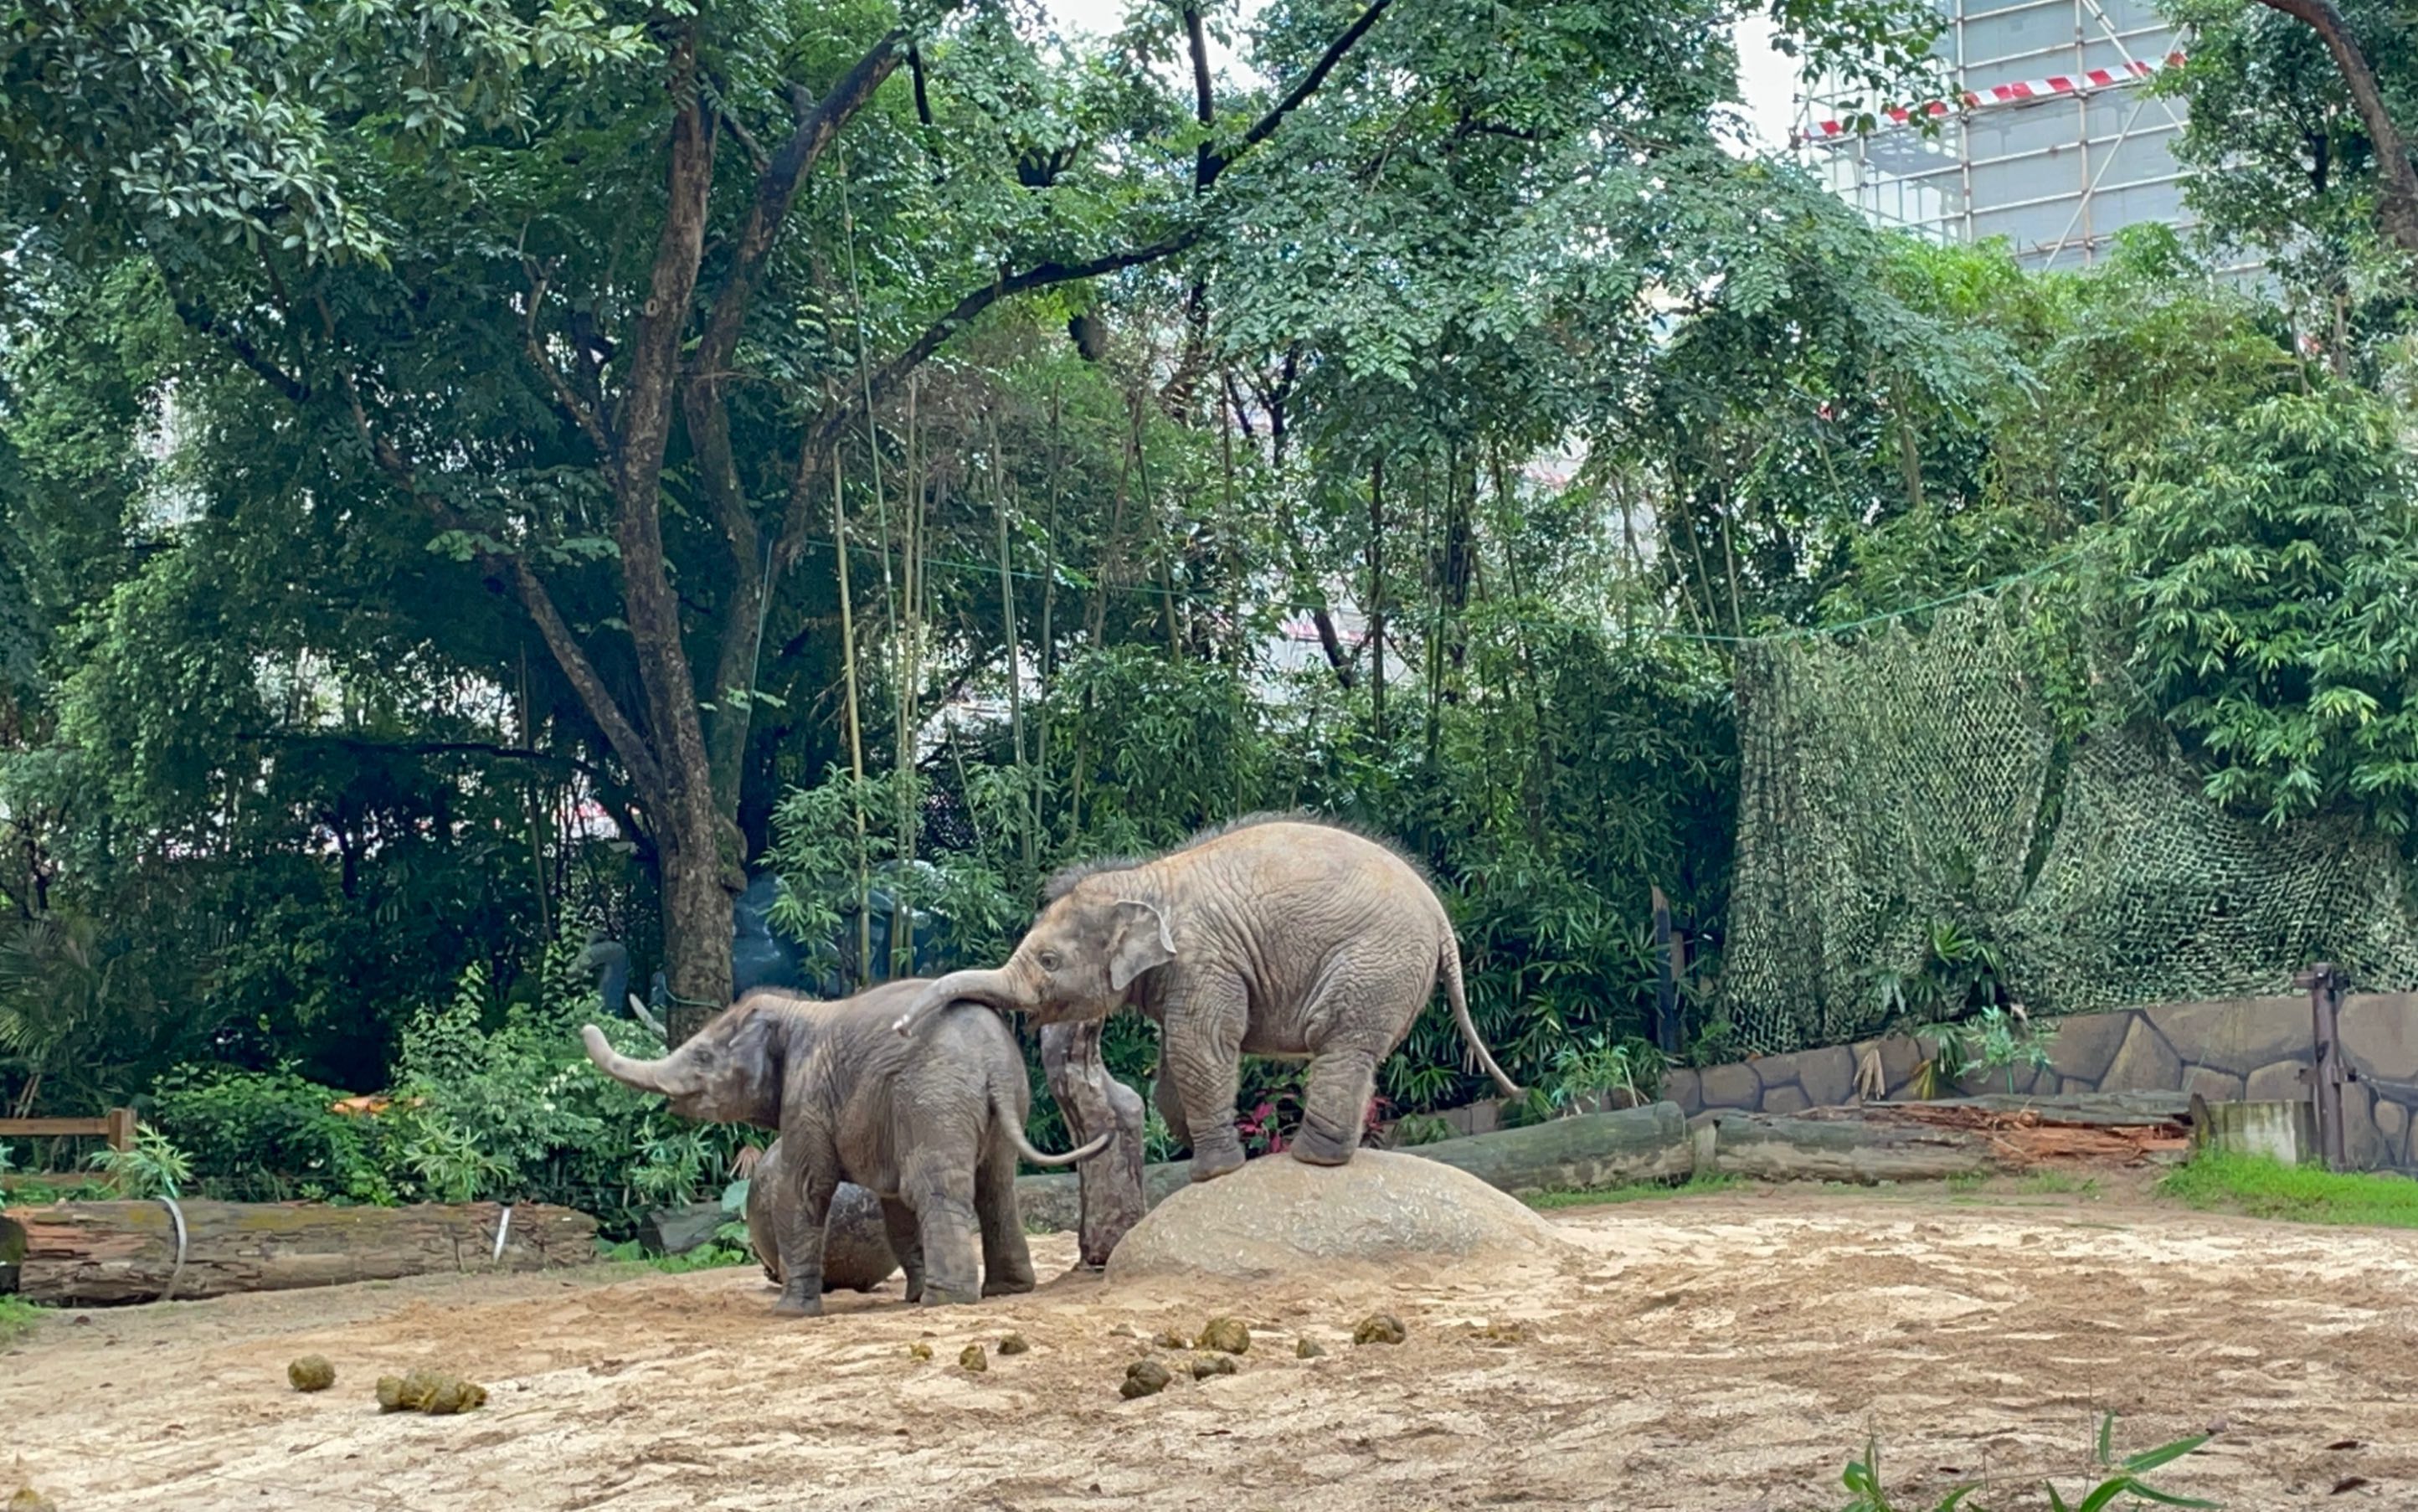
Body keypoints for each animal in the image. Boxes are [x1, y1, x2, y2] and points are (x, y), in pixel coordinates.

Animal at [580, 977, 1107, 1306]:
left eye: (704, 1056)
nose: (587, 1026)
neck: (797, 1011)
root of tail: (992, 1061)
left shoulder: (808, 1097)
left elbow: (804, 1190)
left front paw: (789, 1313)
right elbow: (893, 1205)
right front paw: (911, 1296)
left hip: (932, 1098)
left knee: (937, 1191)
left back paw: (947, 1301)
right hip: (998, 1101)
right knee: (995, 1188)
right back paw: (1003, 1291)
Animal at [889, 812, 1509, 1180]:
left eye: (1048, 961)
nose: (899, 1028)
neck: (1141, 879)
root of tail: (1442, 920)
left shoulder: (1203, 959)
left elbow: (1201, 1047)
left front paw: (1215, 1172)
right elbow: (1172, 1067)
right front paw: (1201, 1148)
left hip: (1375, 959)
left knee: (1339, 1040)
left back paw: (1312, 1158)